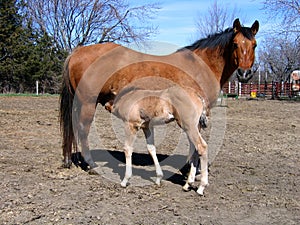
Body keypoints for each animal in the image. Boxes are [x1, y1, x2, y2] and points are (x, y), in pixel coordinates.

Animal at [59, 18, 258, 174]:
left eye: (254, 45)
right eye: (235, 44)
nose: (244, 74)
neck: (201, 65)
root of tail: (78, 51)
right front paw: (192, 170)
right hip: (88, 103)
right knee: (83, 130)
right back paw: (91, 165)